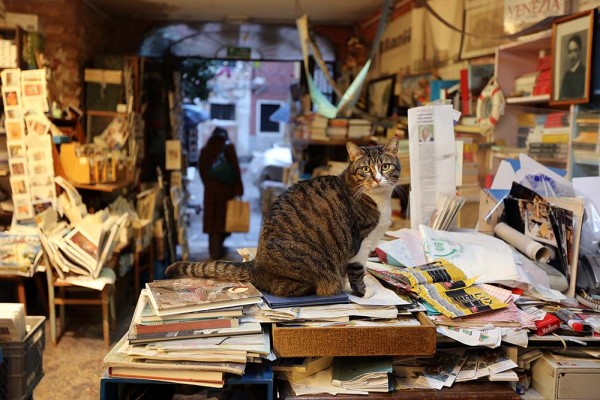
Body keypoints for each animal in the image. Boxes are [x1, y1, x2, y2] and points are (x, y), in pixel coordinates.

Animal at [168, 138, 404, 296]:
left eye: (385, 166)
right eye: (366, 169)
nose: (377, 179)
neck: (379, 199)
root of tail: (256, 264)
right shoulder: (361, 245)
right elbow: (357, 272)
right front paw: (363, 293)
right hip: (315, 264)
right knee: (286, 287)